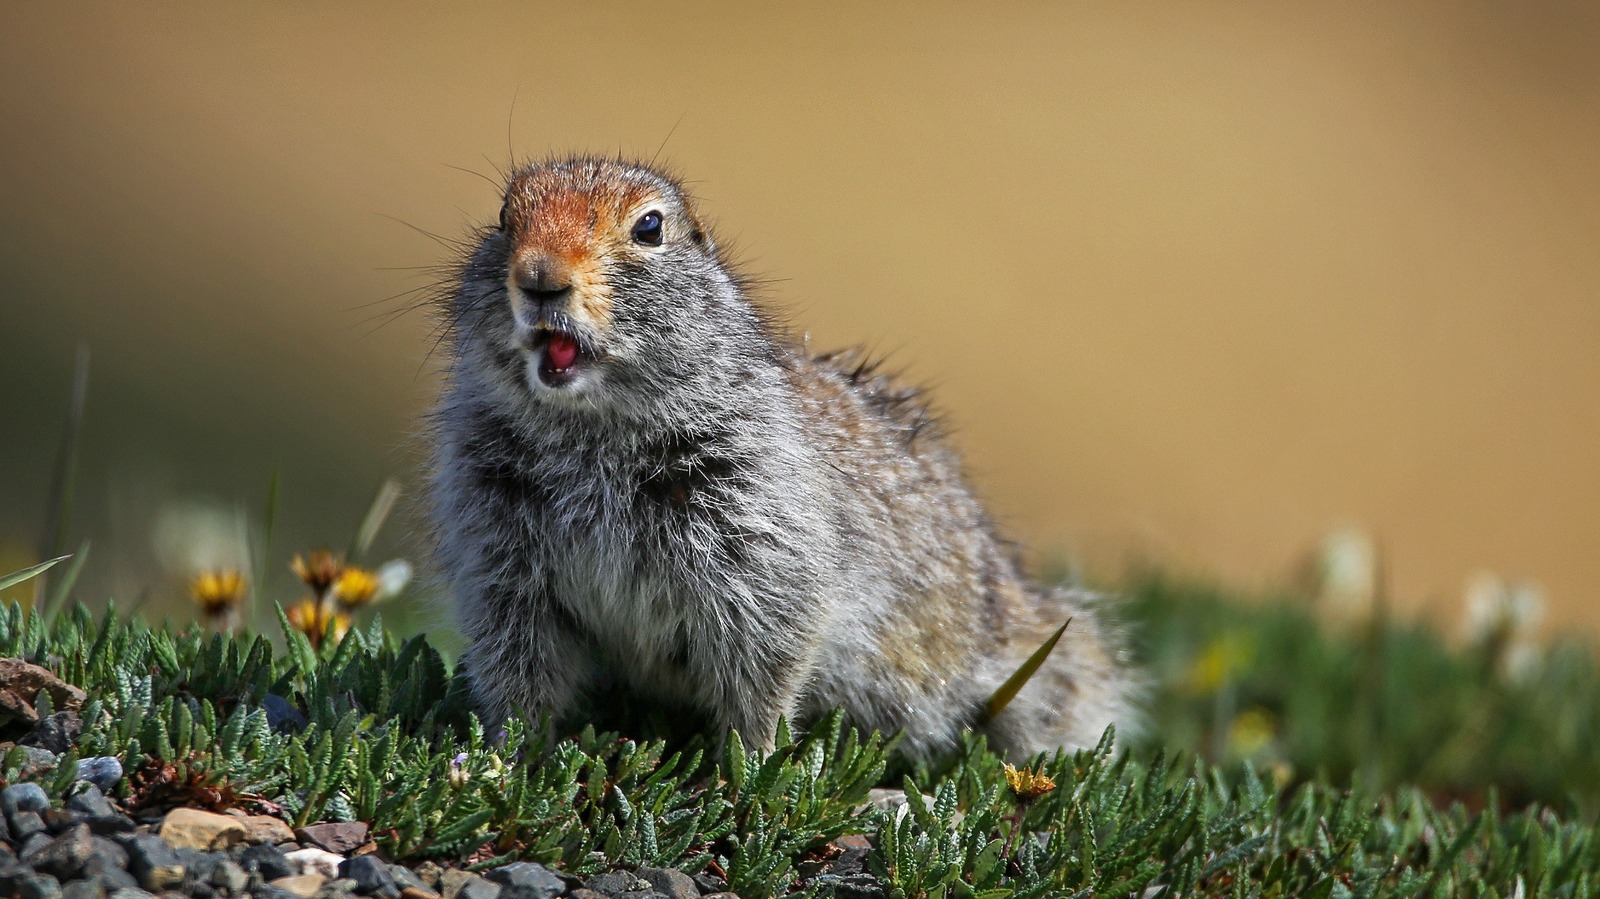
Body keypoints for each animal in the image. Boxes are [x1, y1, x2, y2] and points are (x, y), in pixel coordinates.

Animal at [428, 156, 1138, 760]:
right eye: (504, 217)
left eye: (649, 227)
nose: (539, 277)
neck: (590, 436)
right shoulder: (500, 559)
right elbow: (519, 670)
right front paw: (510, 759)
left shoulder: (758, 541)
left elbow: (764, 664)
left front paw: (751, 768)